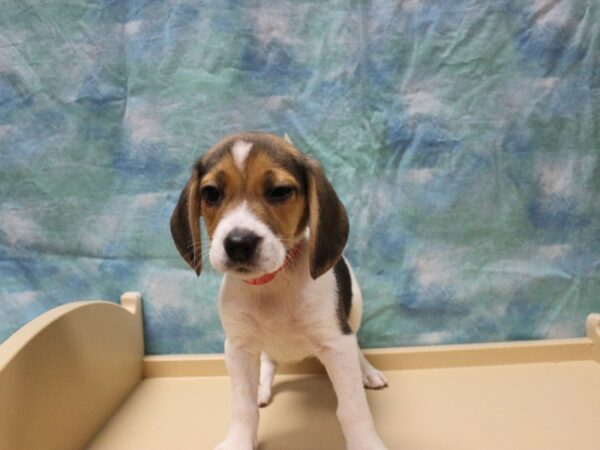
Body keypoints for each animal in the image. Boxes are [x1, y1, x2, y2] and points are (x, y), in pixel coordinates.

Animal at [171, 132, 386, 448]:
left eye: (280, 191)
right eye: (211, 193)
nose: (238, 243)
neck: (271, 282)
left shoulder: (336, 342)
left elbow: (352, 408)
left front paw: (365, 443)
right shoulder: (238, 347)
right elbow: (243, 405)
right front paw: (239, 440)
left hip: (354, 311)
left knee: (357, 346)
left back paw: (368, 373)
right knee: (269, 360)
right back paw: (262, 386)